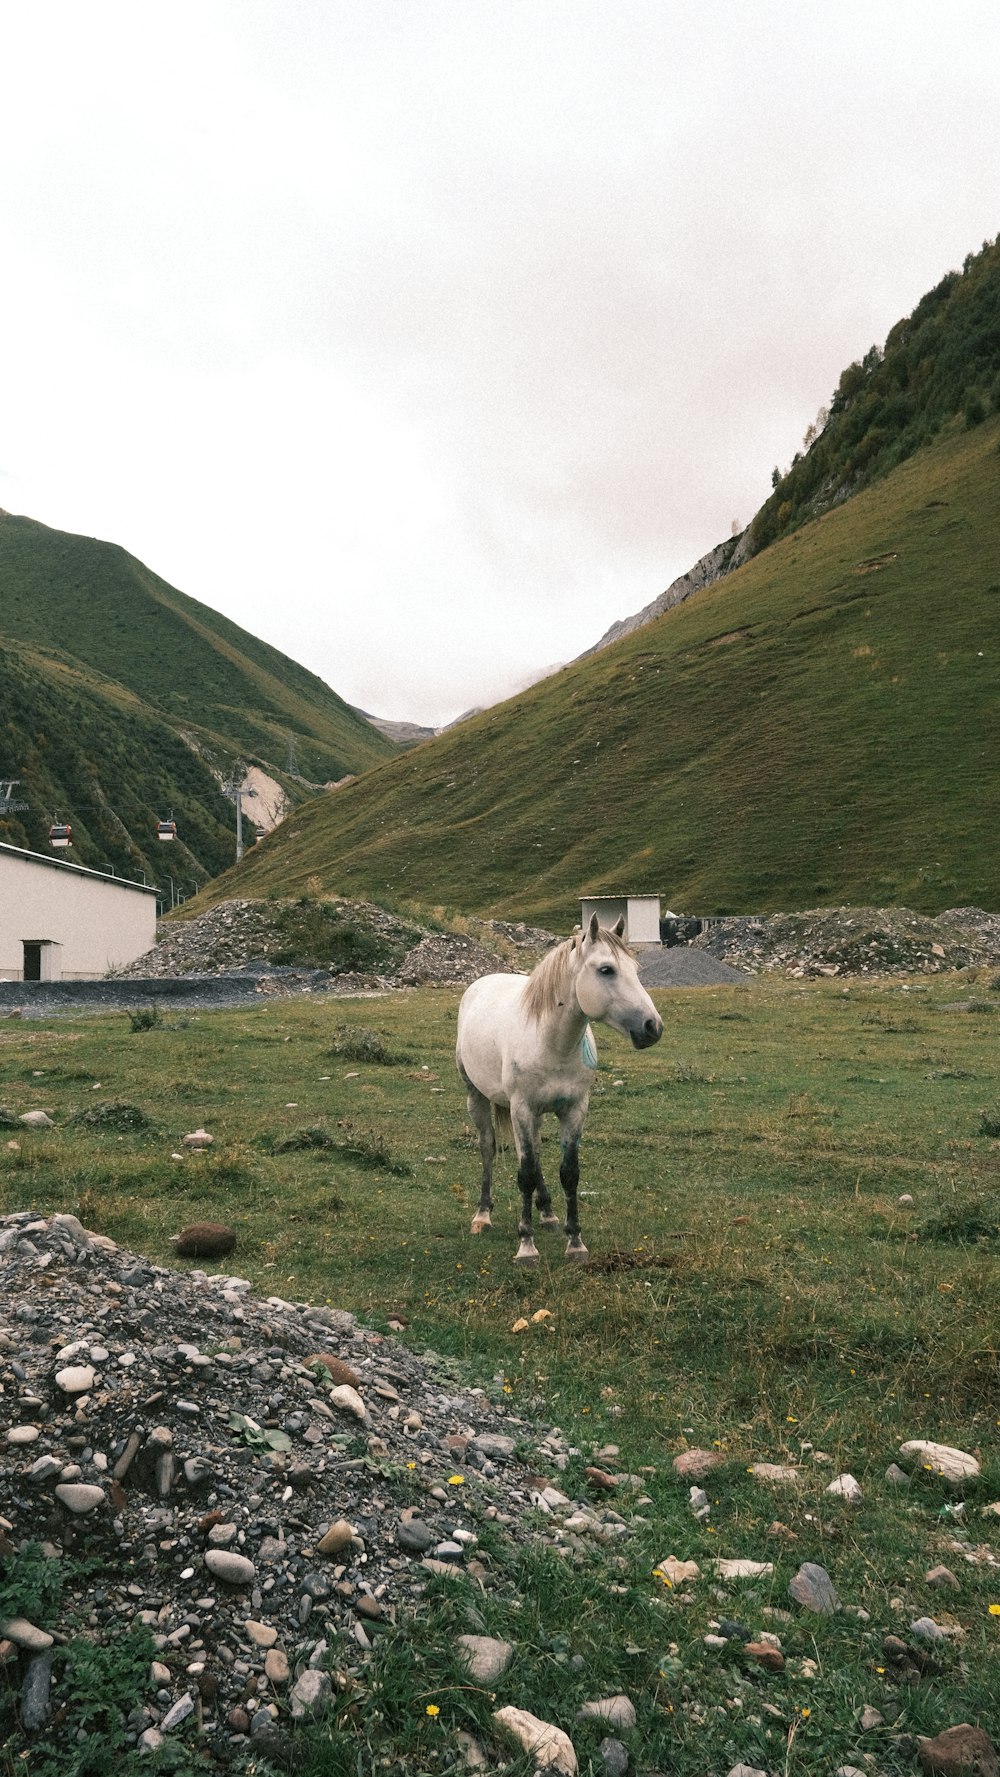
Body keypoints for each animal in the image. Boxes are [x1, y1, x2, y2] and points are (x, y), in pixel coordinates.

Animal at [454, 916, 664, 1265]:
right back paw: (482, 1215)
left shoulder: (575, 1109)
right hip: (478, 1097)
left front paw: (575, 1242)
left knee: (534, 1150)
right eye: (606, 970)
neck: (552, 1043)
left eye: (635, 969)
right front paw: (526, 1246)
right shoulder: (522, 1108)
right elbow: (524, 1173)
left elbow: (569, 1172)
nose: (653, 1027)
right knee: (488, 1148)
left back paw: (548, 1213)